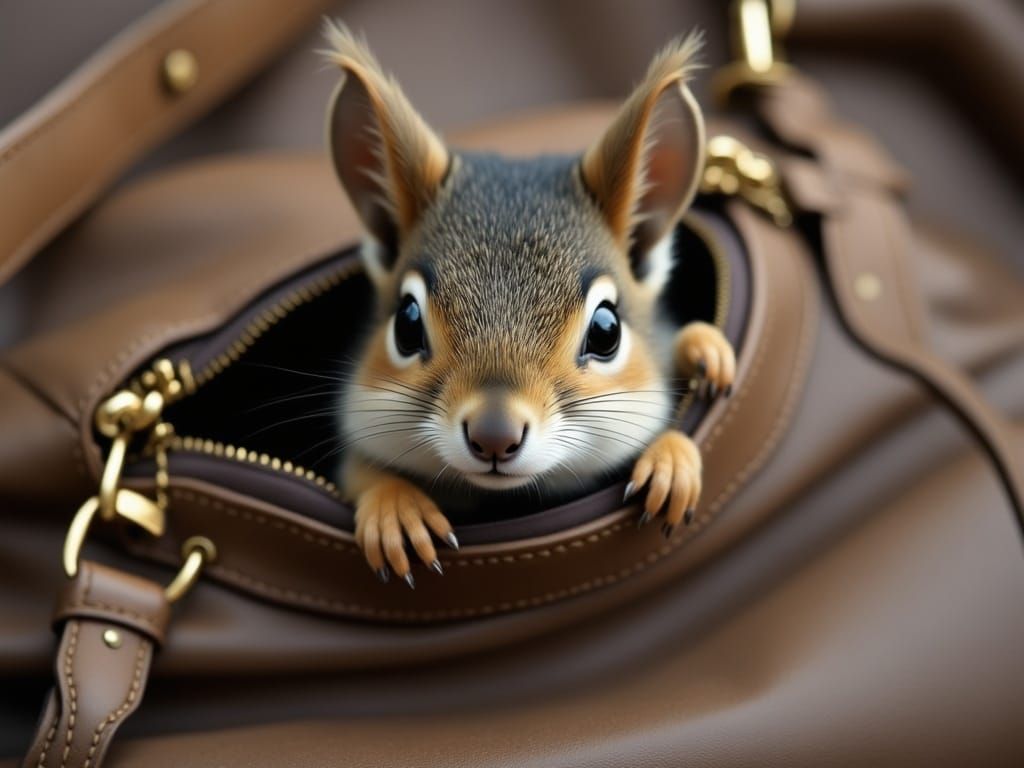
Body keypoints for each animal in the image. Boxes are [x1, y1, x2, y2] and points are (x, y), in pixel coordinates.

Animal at [322, 22, 736, 588]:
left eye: (606, 330)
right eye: (406, 323)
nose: (494, 435)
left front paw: (676, 444)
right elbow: (358, 470)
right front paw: (394, 510)